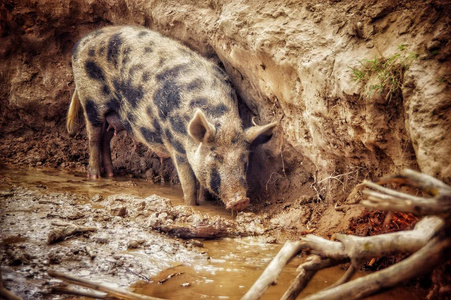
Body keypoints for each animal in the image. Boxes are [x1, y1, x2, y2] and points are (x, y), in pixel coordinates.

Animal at [65, 26, 278, 211]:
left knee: (106, 138)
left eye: (244, 158)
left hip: (115, 116)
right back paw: (95, 177)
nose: (240, 200)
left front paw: (206, 202)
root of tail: (82, 41)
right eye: (215, 155)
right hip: (90, 99)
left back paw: (110, 174)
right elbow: (188, 182)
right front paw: (192, 206)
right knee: (93, 137)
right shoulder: (176, 144)